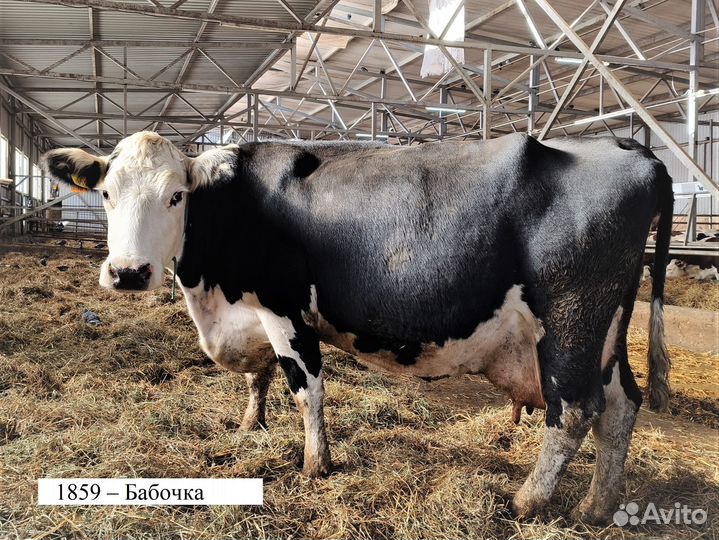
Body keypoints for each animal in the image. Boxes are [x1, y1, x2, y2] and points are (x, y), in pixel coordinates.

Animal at [42, 131, 673, 525]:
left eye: (176, 196)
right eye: (105, 193)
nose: (128, 273)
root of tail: (631, 150)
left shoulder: (285, 308)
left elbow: (307, 389)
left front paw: (315, 464)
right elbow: (258, 378)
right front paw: (250, 425)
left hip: (571, 322)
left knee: (574, 413)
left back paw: (526, 502)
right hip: (605, 331)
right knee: (621, 406)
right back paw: (597, 506)